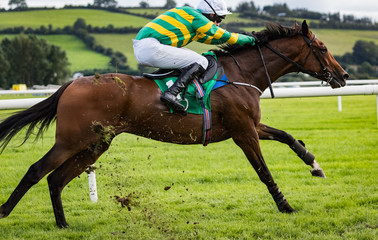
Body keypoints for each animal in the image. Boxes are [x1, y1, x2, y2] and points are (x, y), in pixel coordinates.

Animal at [0, 20, 348, 227]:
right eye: (322, 48)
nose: (343, 75)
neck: (241, 74)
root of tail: (72, 84)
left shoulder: (250, 126)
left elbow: (288, 137)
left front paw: (315, 165)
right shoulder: (243, 132)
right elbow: (264, 171)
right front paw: (286, 206)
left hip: (96, 143)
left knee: (56, 179)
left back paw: (63, 225)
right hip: (71, 139)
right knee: (36, 171)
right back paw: (5, 211)